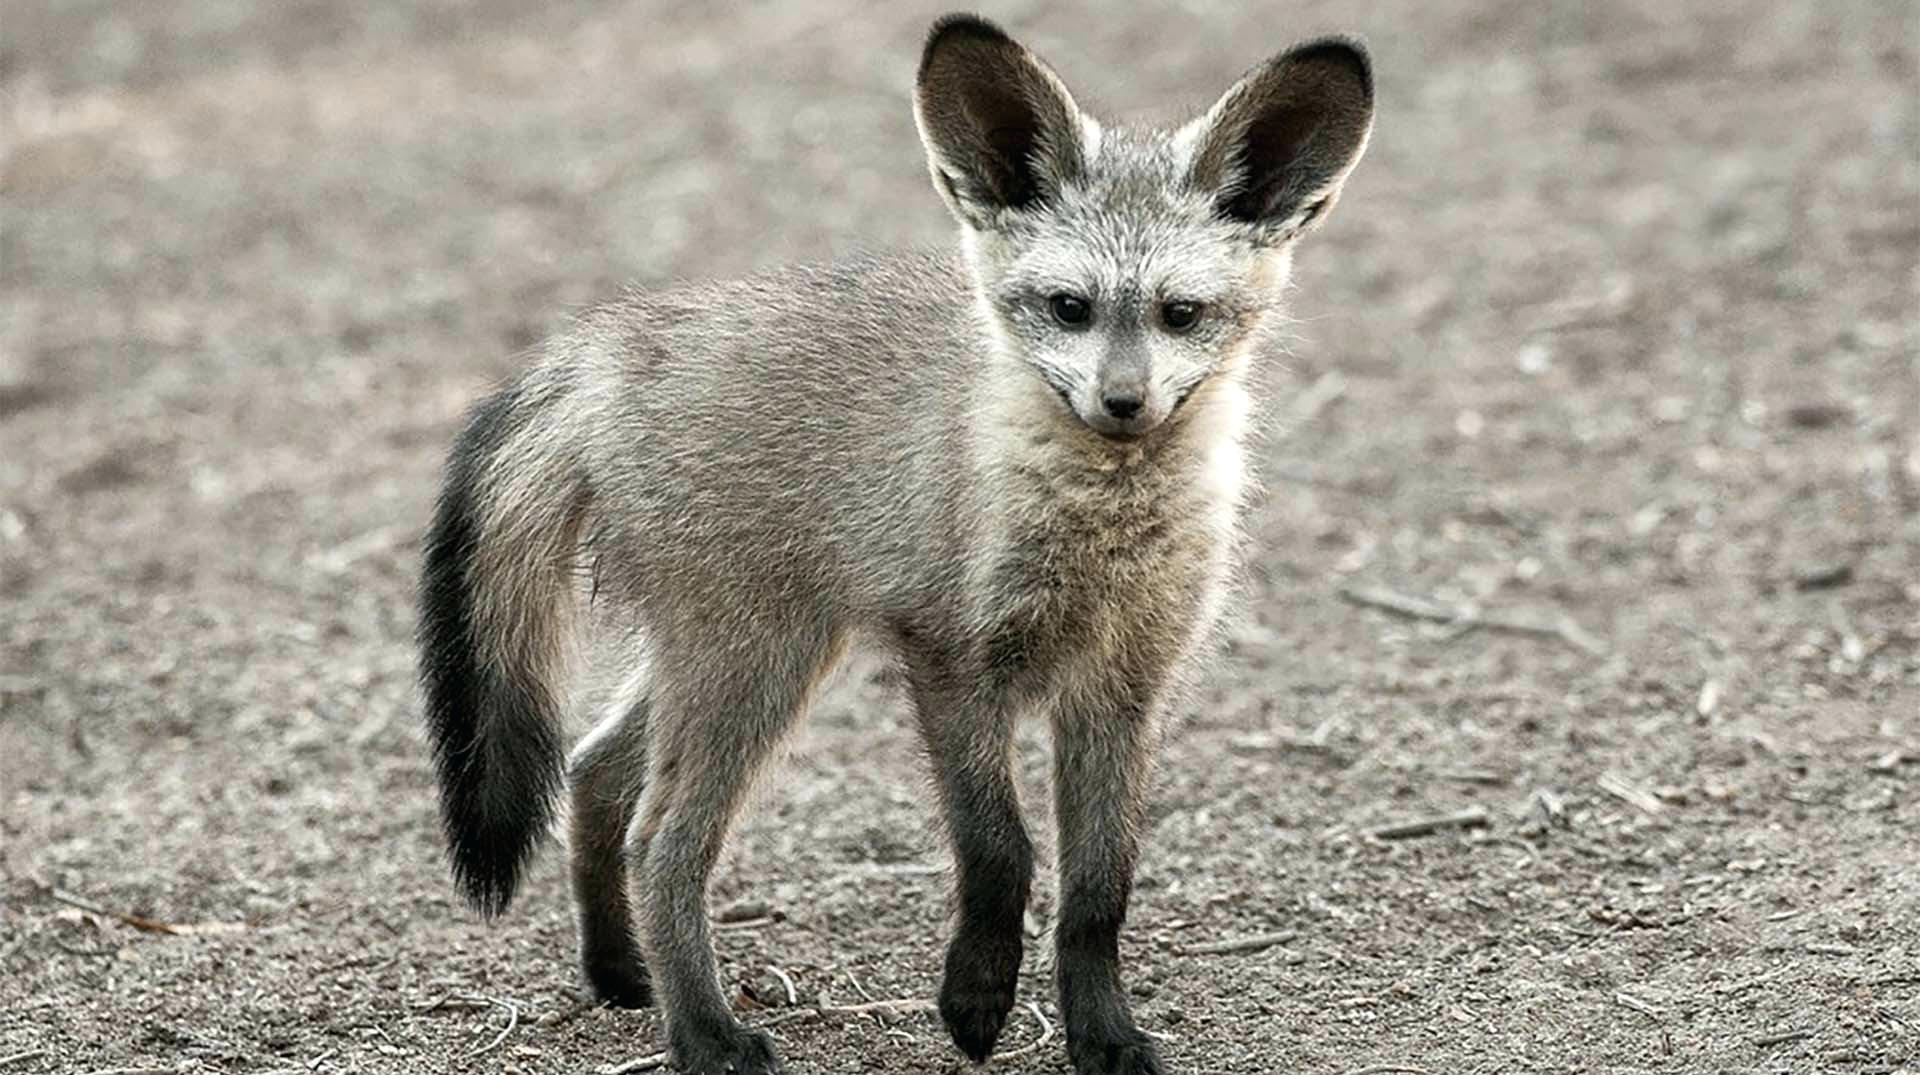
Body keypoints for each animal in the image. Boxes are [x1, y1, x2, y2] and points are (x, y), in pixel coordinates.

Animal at [420, 10, 1374, 1075]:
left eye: (1181, 314)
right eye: (1071, 308)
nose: (1123, 403)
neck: (1098, 538)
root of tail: (608, 343)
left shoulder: (1126, 684)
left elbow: (1099, 887)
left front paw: (1103, 1033)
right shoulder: (951, 659)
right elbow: (1000, 851)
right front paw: (975, 999)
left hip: (737, 658)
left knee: (593, 772)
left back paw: (623, 977)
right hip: (758, 664)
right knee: (660, 841)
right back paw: (705, 1033)